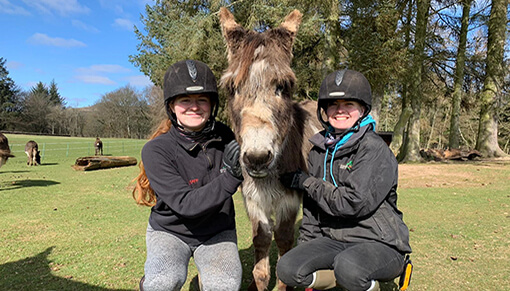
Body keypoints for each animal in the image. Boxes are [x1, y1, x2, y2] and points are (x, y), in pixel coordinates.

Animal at [218, 7, 318, 291]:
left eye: (283, 87)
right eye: (232, 89)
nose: (257, 158)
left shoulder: (288, 201)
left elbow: (283, 239)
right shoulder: (253, 200)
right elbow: (261, 241)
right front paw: (257, 281)